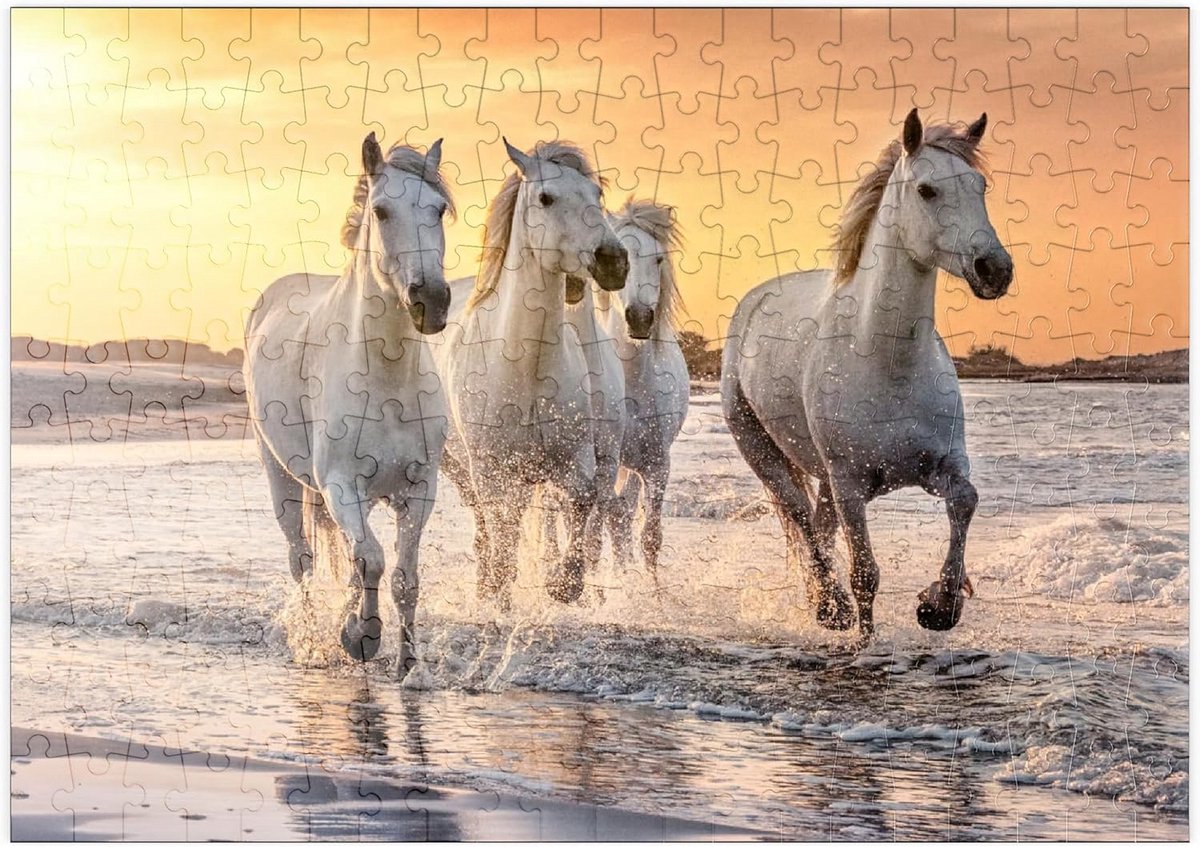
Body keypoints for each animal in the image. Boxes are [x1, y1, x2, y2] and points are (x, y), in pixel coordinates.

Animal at [244, 134, 455, 676]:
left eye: (439, 209)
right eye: (381, 211)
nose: (431, 301)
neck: (386, 379)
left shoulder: (419, 491)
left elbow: (402, 576)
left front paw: (407, 663)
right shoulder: (341, 486)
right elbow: (372, 560)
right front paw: (362, 637)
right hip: (282, 479)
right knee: (302, 560)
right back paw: (314, 636)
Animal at [440, 139, 629, 608]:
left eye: (597, 194)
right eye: (545, 198)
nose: (614, 261)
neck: (525, 368)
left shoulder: (575, 461)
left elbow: (580, 501)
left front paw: (564, 582)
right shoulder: (491, 471)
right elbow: (502, 532)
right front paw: (497, 589)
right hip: (461, 468)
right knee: (486, 526)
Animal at [720, 110, 1013, 643]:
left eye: (980, 185)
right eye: (926, 190)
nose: (994, 269)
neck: (887, 364)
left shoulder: (941, 466)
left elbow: (966, 502)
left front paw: (940, 605)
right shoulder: (851, 485)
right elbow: (865, 575)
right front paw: (866, 639)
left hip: (825, 479)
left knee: (818, 527)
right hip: (765, 453)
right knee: (801, 519)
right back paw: (830, 607)